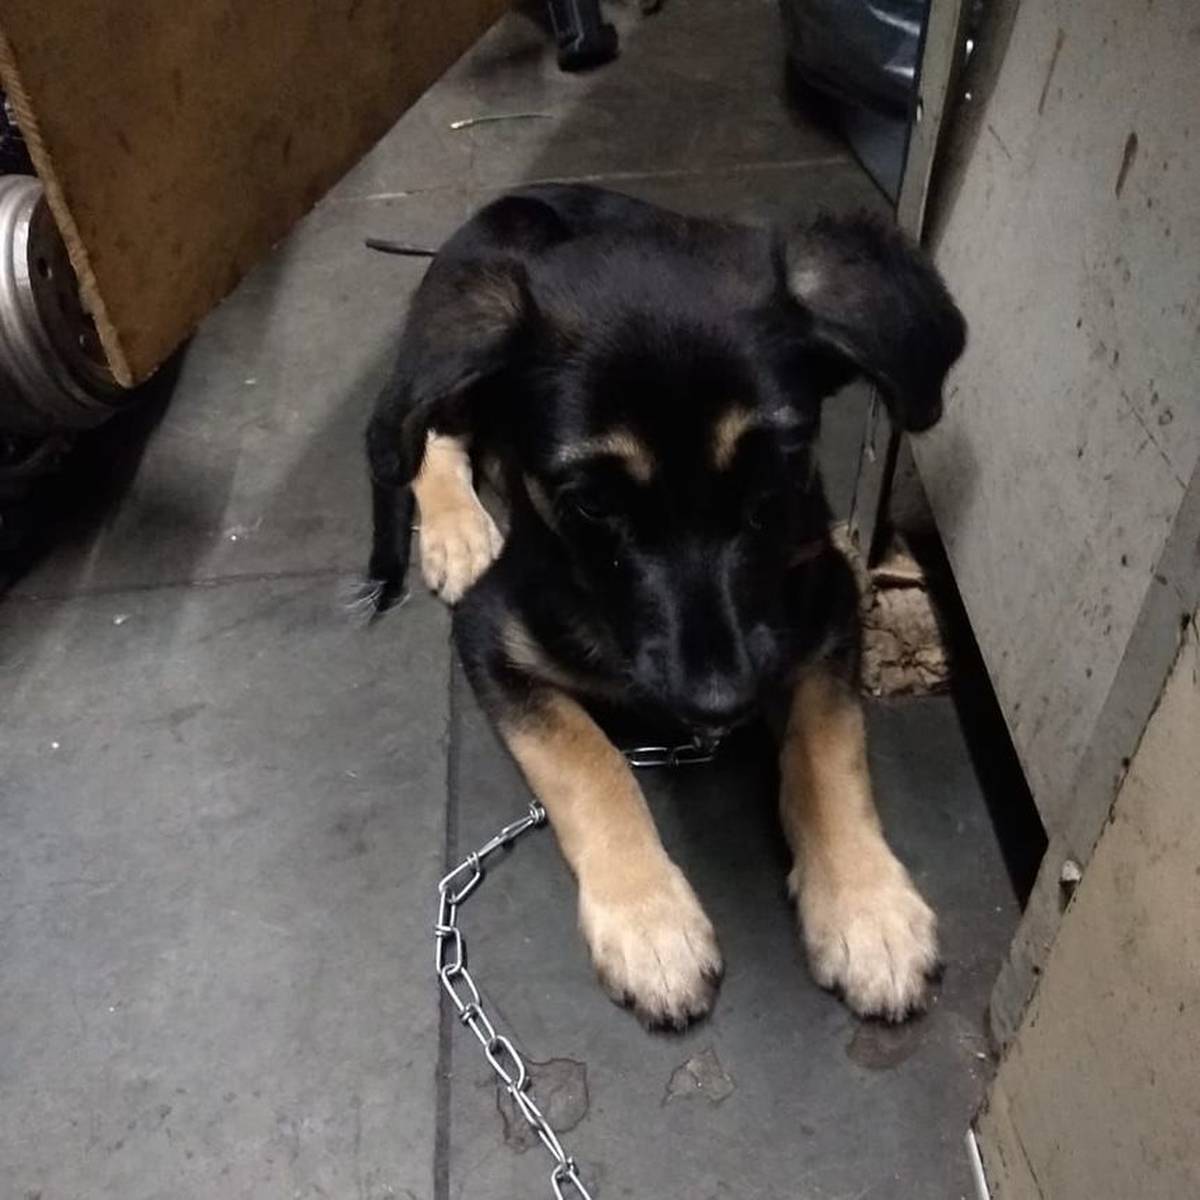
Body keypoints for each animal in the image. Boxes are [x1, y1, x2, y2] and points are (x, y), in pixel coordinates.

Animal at [362, 183, 965, 1029]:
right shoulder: (489, 637)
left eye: (776, 478)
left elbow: (827, 743)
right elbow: (588, 759)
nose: (719, 705)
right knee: (419, 433)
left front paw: (866, 908)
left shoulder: (829, 605)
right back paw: (458, 530)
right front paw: (650, 922)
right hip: (456, 345)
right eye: (591, 506)